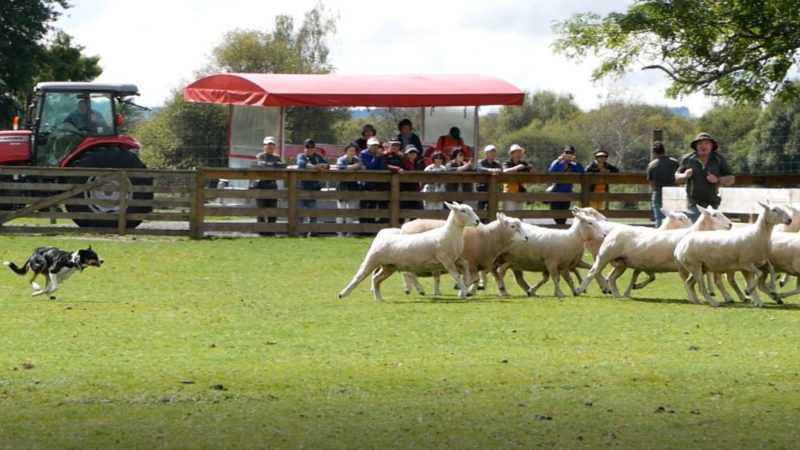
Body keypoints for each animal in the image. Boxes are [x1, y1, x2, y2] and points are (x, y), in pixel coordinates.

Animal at [340, 201, 482, 300]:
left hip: (389, 267)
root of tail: (381, 235)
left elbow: (465, 264)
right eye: (463, 210)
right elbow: (456, 275)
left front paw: (466, 283)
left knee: (376, 279)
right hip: (372, 260)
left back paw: (379, 298)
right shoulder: (445, 260)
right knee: (359, 276)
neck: (449, 234)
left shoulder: (454, 258)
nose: (477, 221)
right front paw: (465, 291)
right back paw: (343, 293)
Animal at [576, 205, 732, 298]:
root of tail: (614, 230)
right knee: (593, 272)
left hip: (621, 262)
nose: (730, 225)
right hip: (604, 255)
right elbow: (685, 279)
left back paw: (616, 294)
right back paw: (580, 290)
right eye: (714, 215)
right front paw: (692, 296)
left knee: (612, 277)